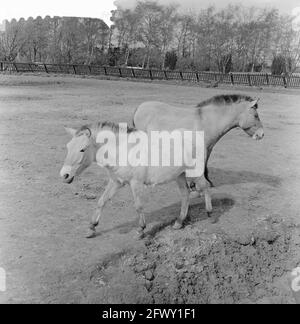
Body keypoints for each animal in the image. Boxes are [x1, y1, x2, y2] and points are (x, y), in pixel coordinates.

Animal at [60, 123, 206, 239]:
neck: (122, 152)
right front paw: (92, 227)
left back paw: (208, 213)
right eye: (68, 147)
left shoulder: (136, 183)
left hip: (194, 171)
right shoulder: (116, 182)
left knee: (205, 186)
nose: (64, 175)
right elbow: (101, 201)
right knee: (185, 194)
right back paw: (179, 222)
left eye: (82, 149)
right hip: (179, 175)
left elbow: (138, 206)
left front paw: (141, 230)